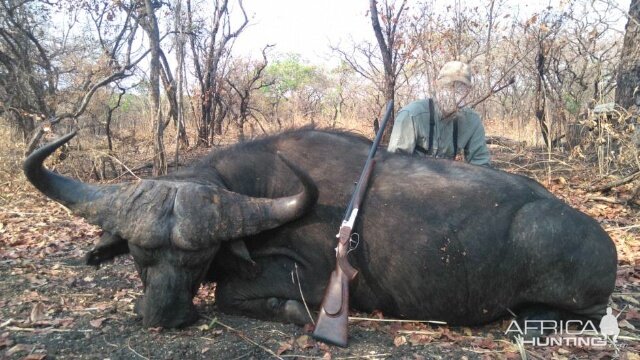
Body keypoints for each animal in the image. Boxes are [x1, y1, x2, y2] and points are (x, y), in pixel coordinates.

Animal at [22, 129, 616, 332]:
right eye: (141, 255)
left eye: (197, 258)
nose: (165, 316)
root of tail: (606, 244)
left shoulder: (303, 275)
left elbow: (231, 294)